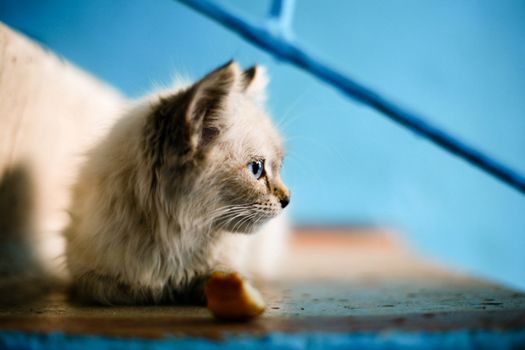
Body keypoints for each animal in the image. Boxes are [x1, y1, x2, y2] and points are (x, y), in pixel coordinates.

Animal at [64, 61, 290, 304]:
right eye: (256, 169)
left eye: (279, 167)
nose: (287, 200)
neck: (174, 236)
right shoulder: (92, 279)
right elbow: (122, 290)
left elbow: (219, 275)